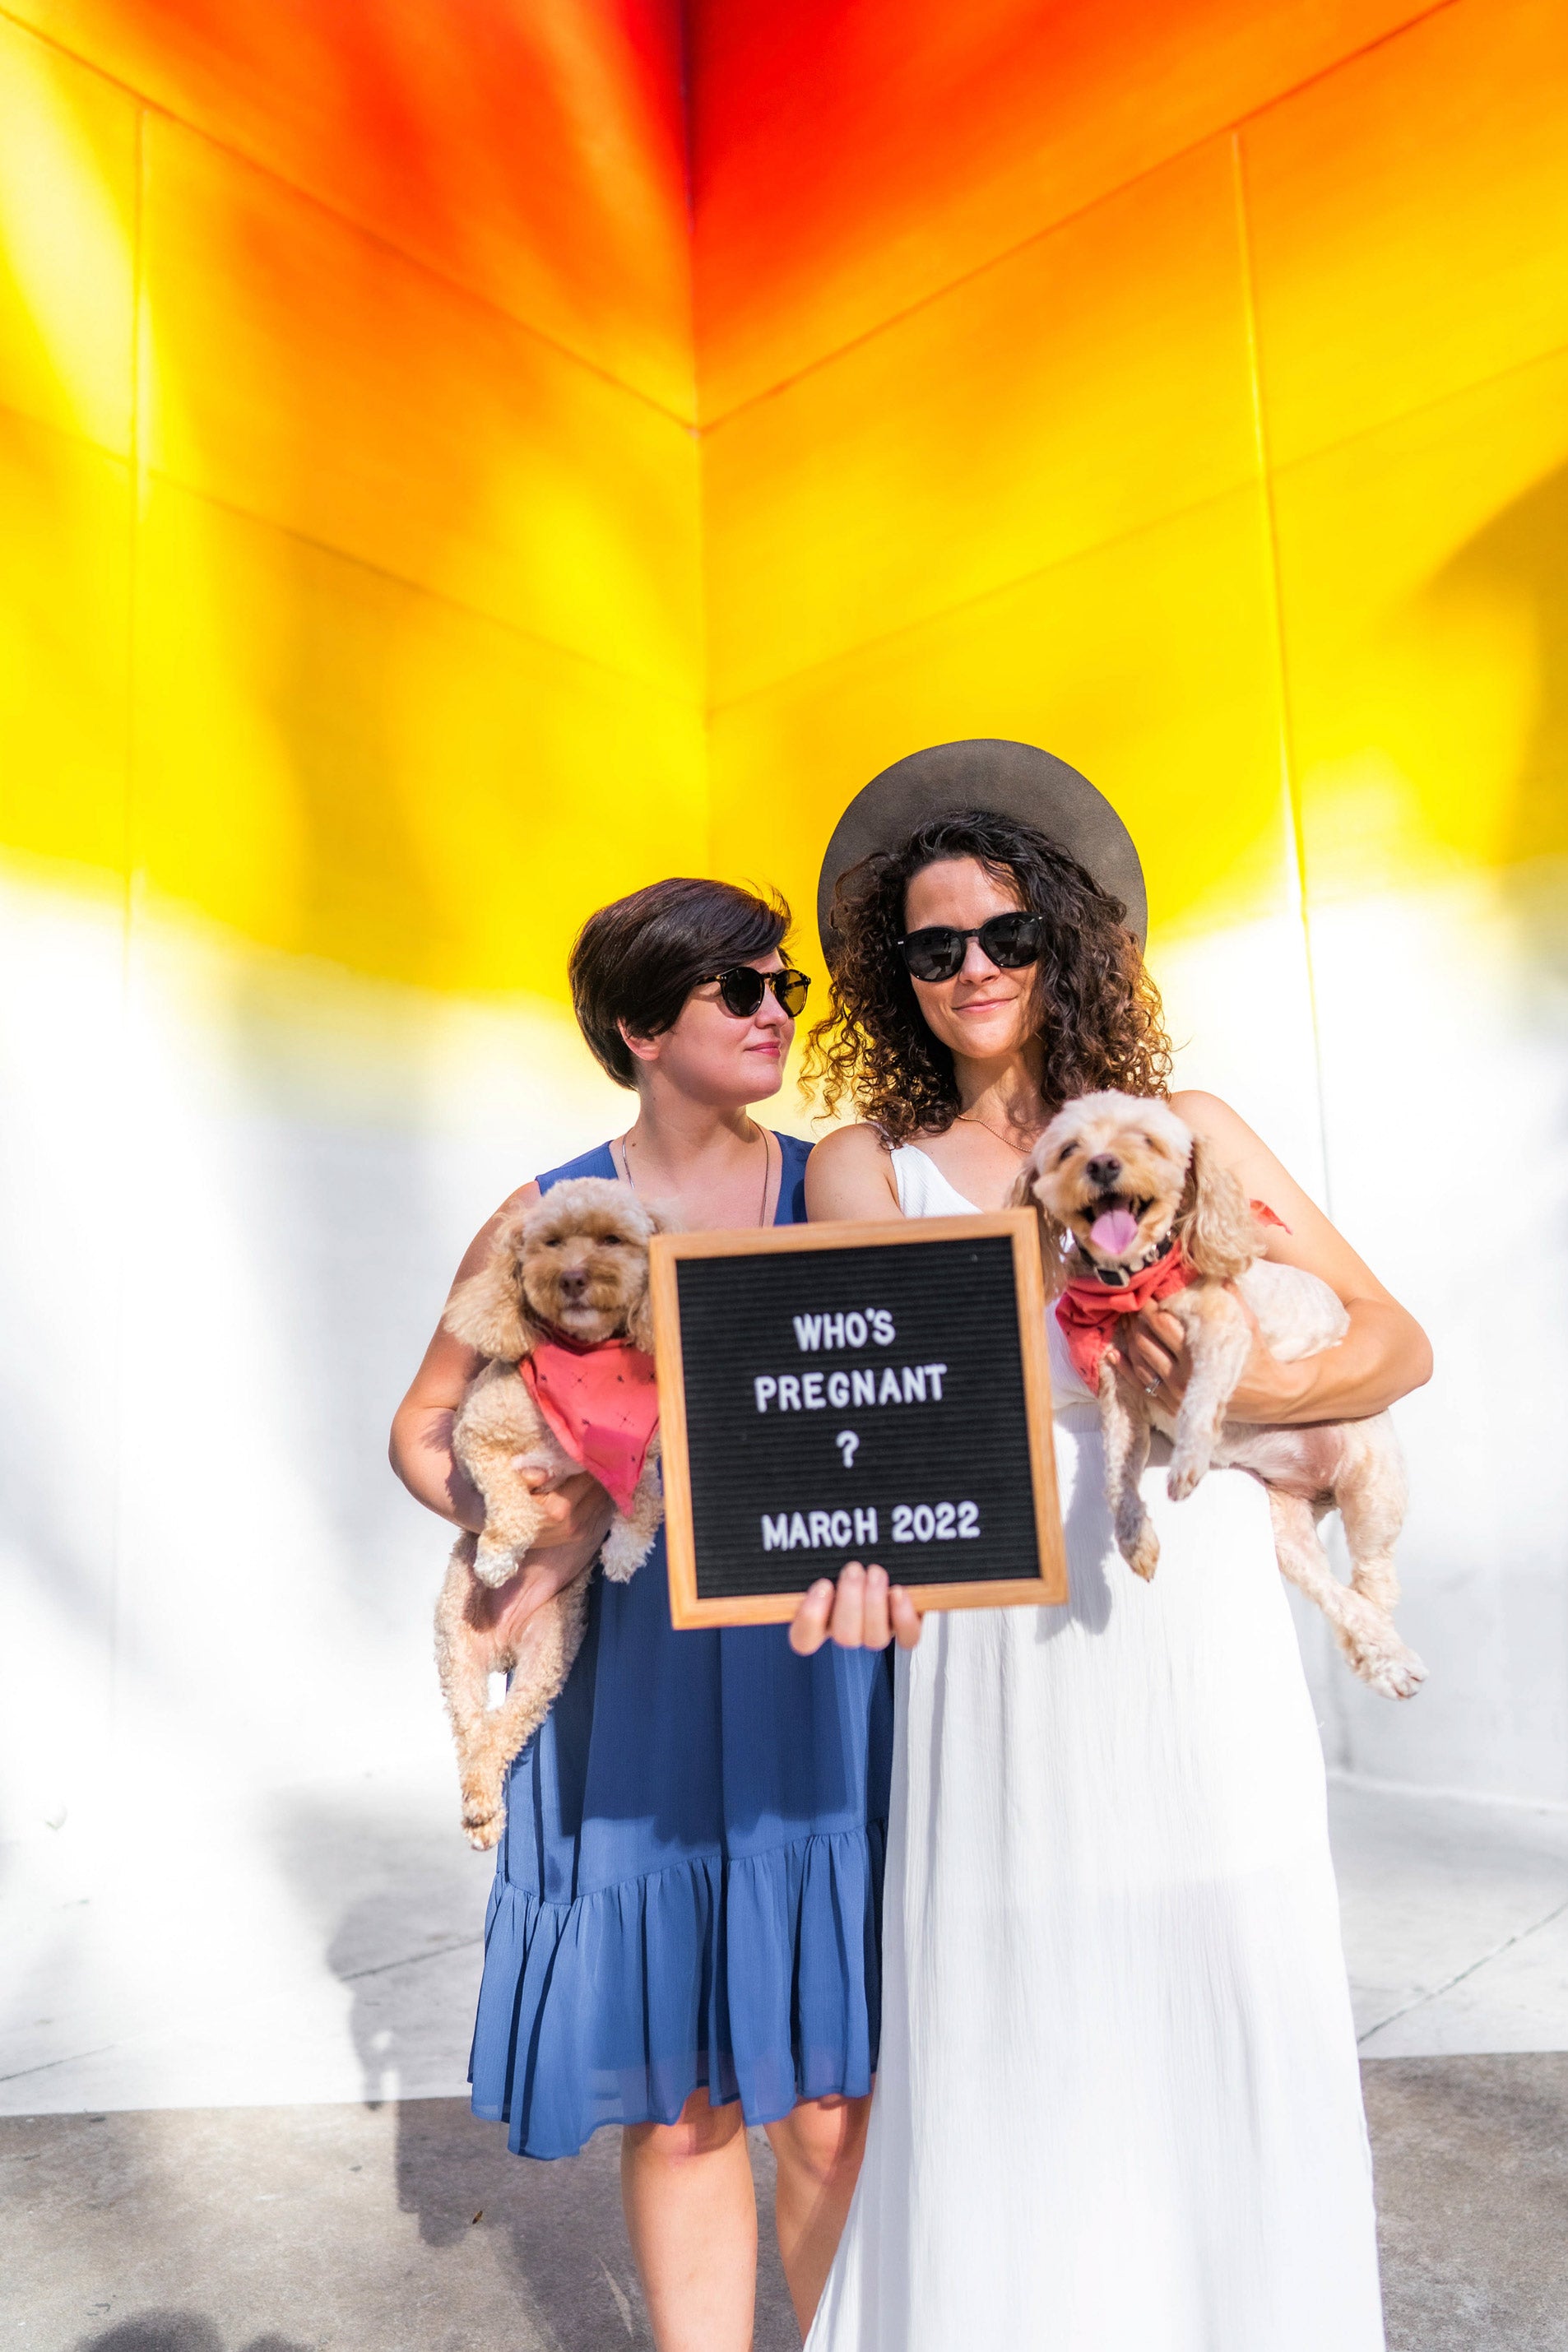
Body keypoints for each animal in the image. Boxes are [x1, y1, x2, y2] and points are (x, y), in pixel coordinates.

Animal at [432, 1185, 667, 1844]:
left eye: (613, 1238)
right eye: (552, 1242)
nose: (574, 1278)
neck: (583, 1364)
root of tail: (503, 1651)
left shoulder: (643, 1453)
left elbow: (645, 1494)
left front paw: (624, 1551)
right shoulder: (476, 1439)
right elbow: (511, 1500)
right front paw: (497, 1557)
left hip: (545, 1664)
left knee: (499, 1731)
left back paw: (486, 1809)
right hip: (456, 1652)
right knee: (473, 1730)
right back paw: (482, 1808)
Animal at [1024, 1091, 1429, 1702]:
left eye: (1145, 1139)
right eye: (1069, 1149)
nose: (1103, 1165)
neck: (1136, 1286)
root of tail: (1323, 1492)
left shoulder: (1224, 1333)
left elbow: (1199, 1399)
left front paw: (1188, 1462)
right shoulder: (1120, 1398)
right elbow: (1117, 1473)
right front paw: (1135, 1540)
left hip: (1372, 1487)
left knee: (1375, 1577)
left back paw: (1389, 1652)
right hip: (1285, 1531)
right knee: (1336, 1593)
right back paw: (1373, 1650)